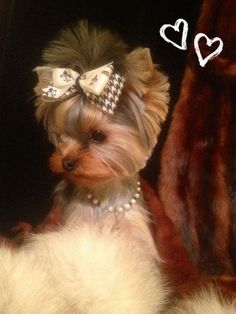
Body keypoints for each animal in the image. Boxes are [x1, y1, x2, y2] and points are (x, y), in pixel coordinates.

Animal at [0, 20, 171, 312]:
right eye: (62, 136)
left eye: (98, 136)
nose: (66, 162)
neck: (107, 196)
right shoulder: (78, 227)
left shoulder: (135, 237)